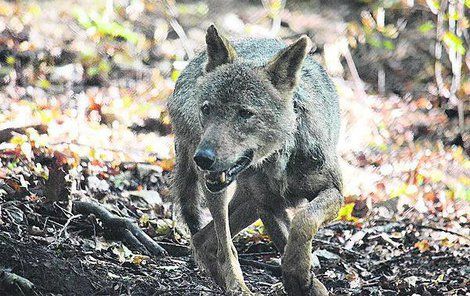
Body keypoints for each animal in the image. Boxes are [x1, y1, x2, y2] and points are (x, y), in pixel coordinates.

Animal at [167, 26, 344, 296]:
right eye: (207, 109)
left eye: (245, 113)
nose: (203, 158)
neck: (279, 160)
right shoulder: (267, 204)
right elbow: (291, 235)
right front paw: (301, 279)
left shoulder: (333, 191)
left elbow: (302, 223)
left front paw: (304, 280)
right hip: (223, 192)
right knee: (220, 244)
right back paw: (236, 286)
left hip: (246, 201)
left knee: (203, 240)